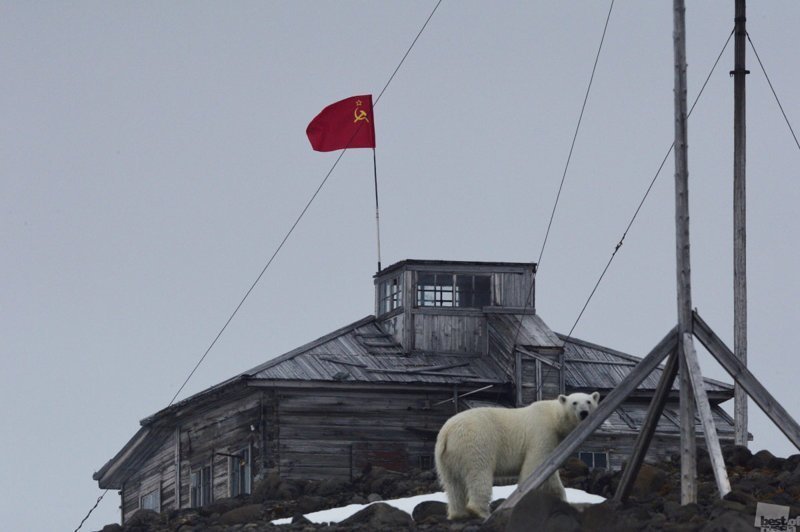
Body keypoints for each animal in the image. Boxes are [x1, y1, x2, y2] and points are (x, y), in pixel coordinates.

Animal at [434, 390, 596, 520]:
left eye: (589, 401)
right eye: (575, 403)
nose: (584, 413)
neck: (553, 417)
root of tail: (446, 432)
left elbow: (551, 476)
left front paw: (561, 500)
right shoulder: (542, 433)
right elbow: (534, 465)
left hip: (447, 457)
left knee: (453, 484)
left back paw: (458, 514)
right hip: (475, 443)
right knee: (479, 474)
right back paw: (480, 512)